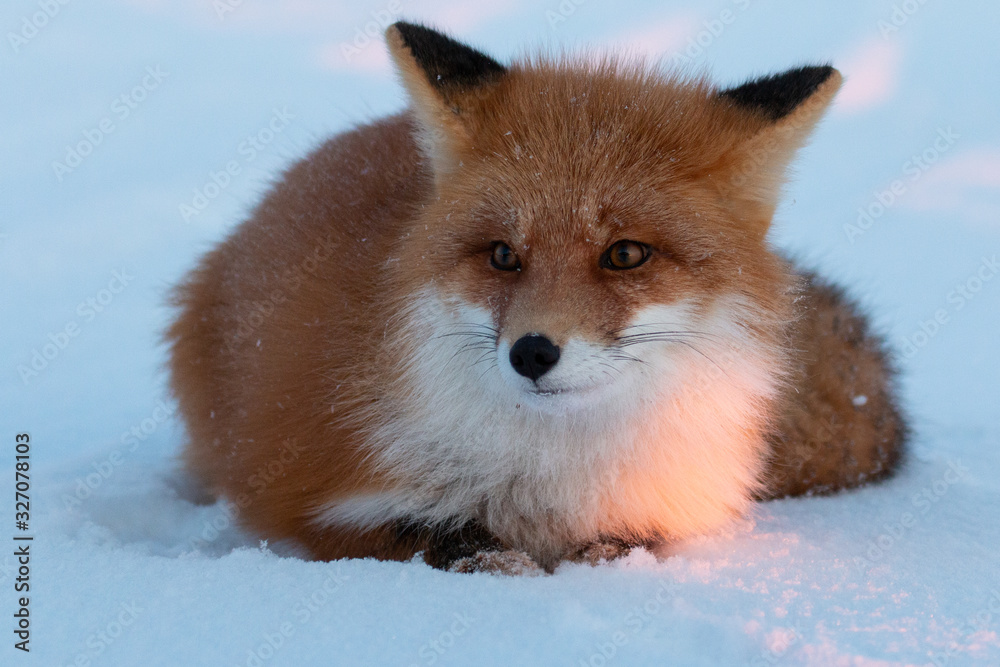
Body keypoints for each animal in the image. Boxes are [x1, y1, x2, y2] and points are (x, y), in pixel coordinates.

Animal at [167, 22, 906, 574]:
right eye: (503, 255)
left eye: (625, 254)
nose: (531, 353)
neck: (554, 477)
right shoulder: (320, 500)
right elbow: (442, 537)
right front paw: (501, 560)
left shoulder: (667, 511)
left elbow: (623, 543)